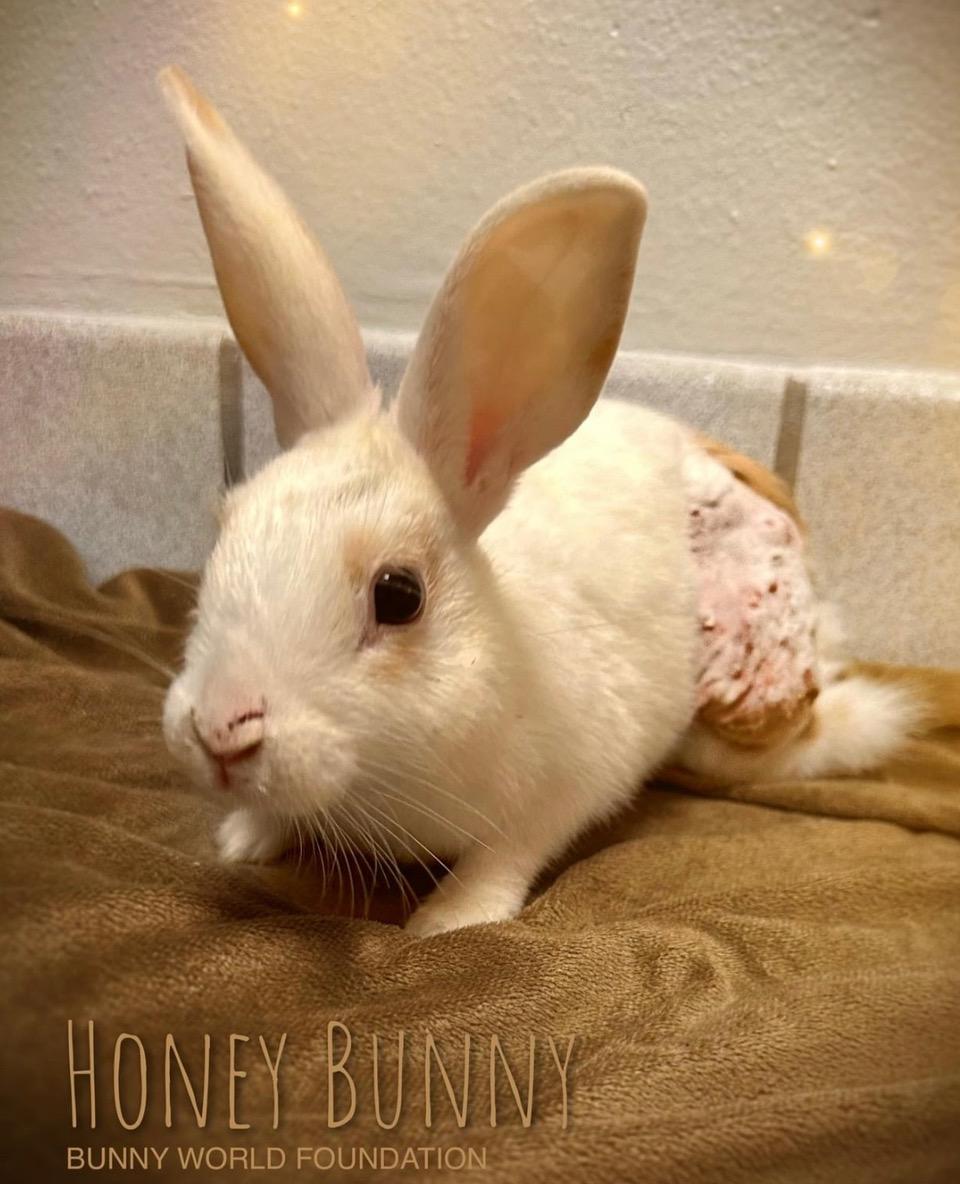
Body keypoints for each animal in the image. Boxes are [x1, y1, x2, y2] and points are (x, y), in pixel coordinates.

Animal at [158, 67, 921, 936]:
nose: (220, 730)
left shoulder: (570, 782)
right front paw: (245, 836)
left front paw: (448, 920)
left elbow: (508, 855)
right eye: (220, 536)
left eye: (399, 596)